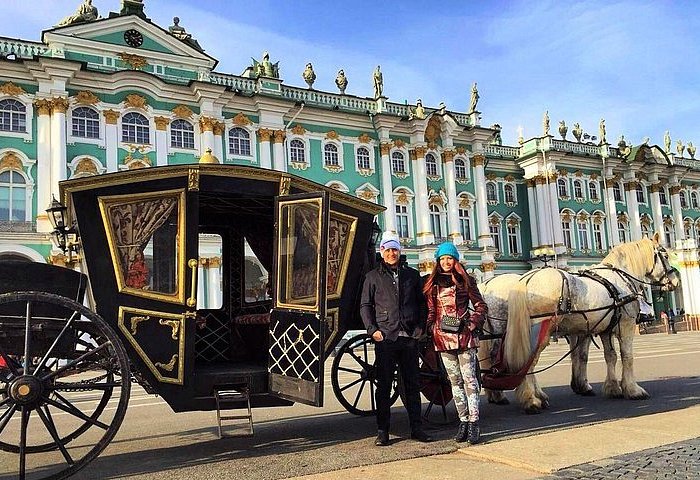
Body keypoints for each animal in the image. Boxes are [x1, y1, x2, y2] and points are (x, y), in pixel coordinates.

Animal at [482, 235, 680, 412]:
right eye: (665, 255)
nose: (675, 281)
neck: (619, 279)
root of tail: (525, 280)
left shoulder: (600, 329)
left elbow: (606, 356)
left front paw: (611, 388)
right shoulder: (625, 325)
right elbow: (626, 356)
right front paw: (633, 390)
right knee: (525, 362)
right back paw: (531, 400)